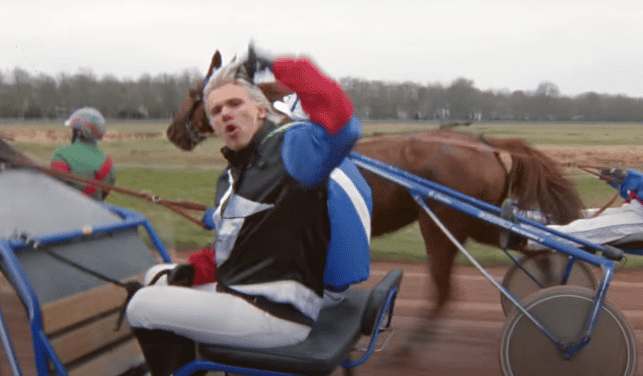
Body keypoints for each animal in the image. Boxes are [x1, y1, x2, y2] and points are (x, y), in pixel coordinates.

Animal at [165, 53, 584, 344]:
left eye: (193, 93)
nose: (172, 132)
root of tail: (484, 143)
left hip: (441, 225)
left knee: (446, 290)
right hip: (477, 221)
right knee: (526, 244)